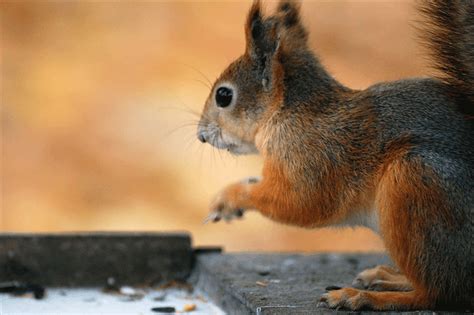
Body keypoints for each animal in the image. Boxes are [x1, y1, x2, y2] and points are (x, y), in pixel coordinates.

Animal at [195, 0, 470, 312]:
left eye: (224, 96)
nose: (201, 135)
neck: (286, 113)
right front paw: (226, 200)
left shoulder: (314, 159)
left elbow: (300, 204)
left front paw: (234, 196)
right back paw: (389, 276)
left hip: (418, 184)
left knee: (438, 293)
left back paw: (366, 296)